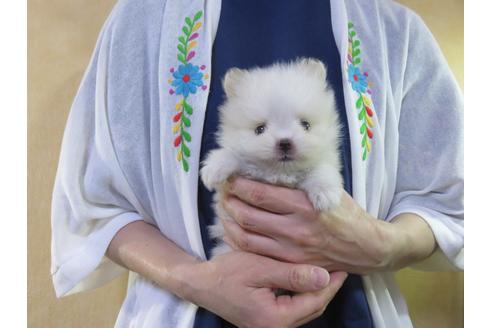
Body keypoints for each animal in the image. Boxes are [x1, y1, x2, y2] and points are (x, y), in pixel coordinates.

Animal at [200, 57, 342, 256]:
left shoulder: (326, 158)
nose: (285, 142)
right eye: (259, 129)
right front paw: (214, 168)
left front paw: (325, 193)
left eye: (305, 125)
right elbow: (232, 153)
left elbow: (321, 168)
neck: (279, 175)